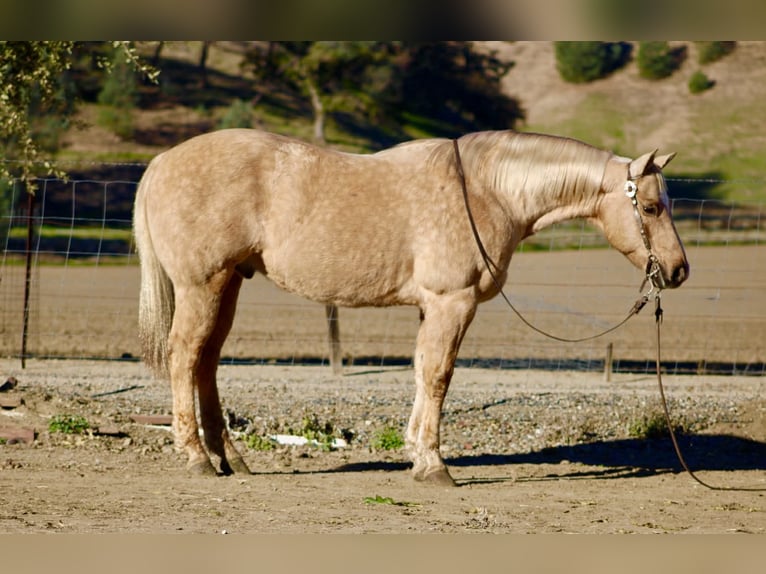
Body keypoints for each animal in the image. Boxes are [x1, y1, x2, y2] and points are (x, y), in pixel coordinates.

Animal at [133, 128, 689, 485]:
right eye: (650, 207)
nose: (679, 270)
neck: (488, 191)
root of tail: (161, 163)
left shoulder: (432, 307)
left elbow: (423, 372)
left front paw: (418, 457)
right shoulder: (452, 302)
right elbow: (439, 375)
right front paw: (435, 467)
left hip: (226, 285)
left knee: (206, 362)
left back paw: (230, 459)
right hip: (202, 285)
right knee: (185, 356)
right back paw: (197, 459)